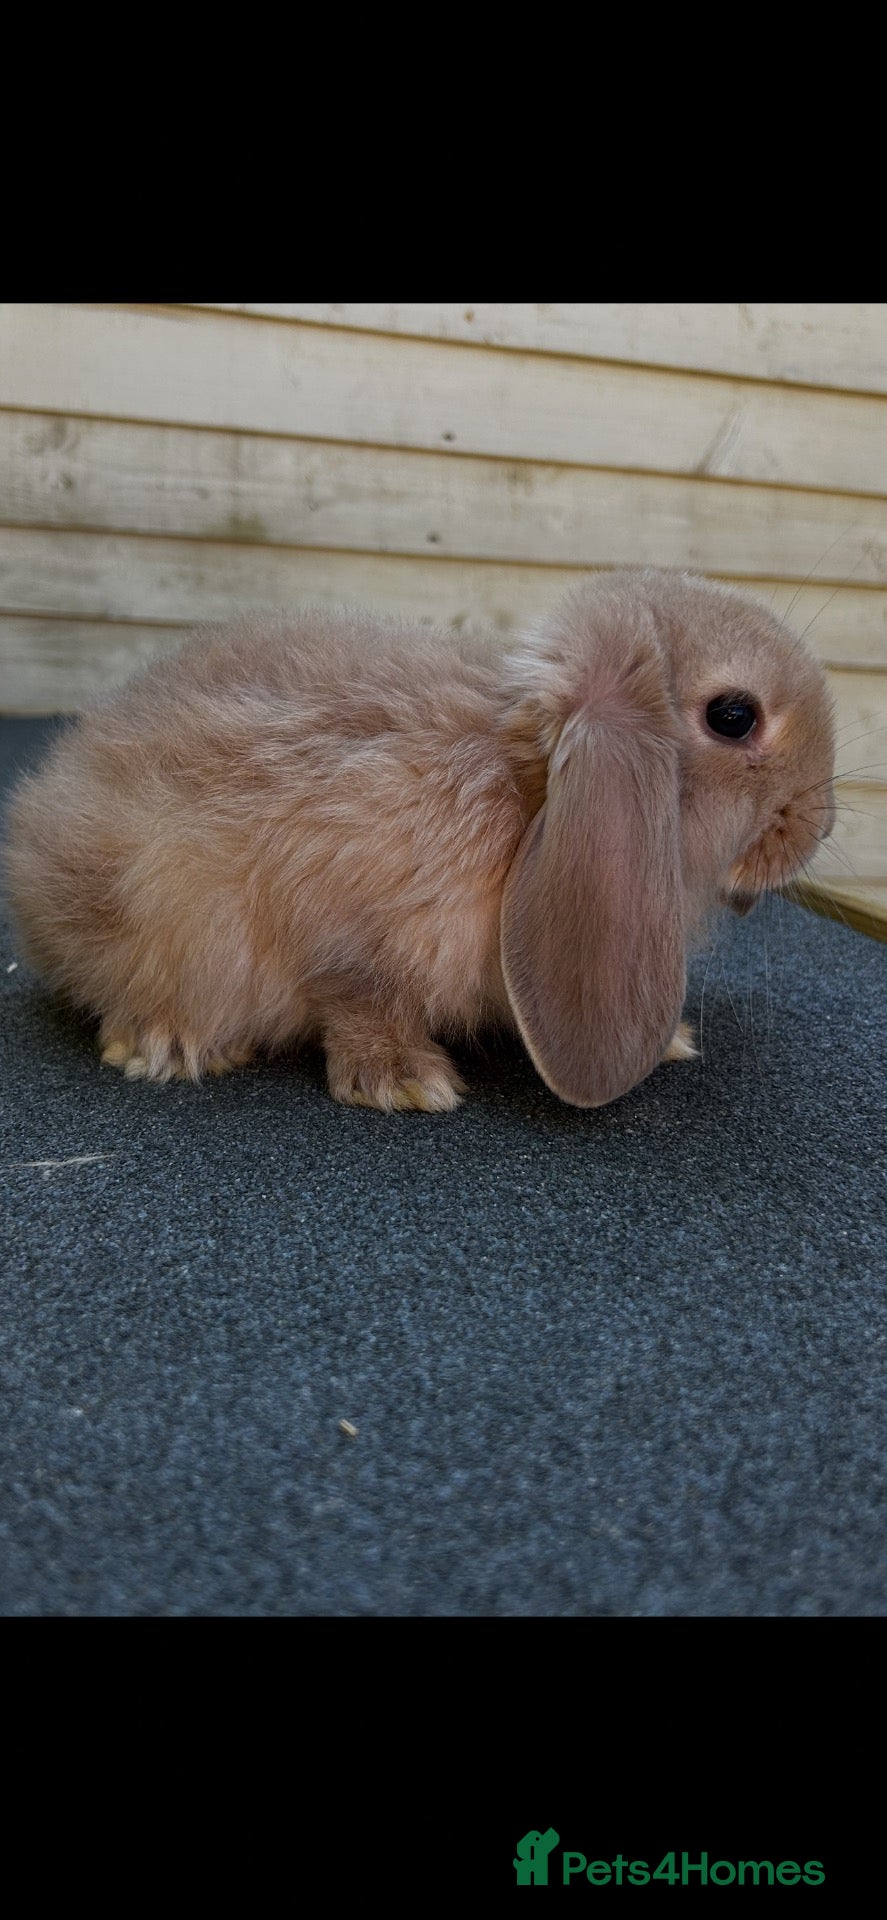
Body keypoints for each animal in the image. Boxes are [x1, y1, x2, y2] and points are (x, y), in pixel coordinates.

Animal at [3, 568, 835, 1111]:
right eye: (733, 716)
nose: (818, 826)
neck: (525, 789)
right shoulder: (343, 923)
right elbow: (358, 997)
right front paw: (401, 1079)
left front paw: (668, 1041)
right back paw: (169, 1042)